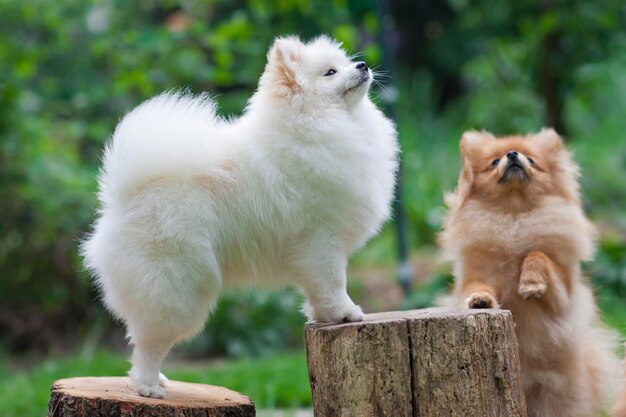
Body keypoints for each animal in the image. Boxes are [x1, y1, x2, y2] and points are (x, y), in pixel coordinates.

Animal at [81, 35, 394, 396]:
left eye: (345, 63)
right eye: (331, 72)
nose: (363, 65)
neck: (316, 125)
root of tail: (122, 197)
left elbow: (318, 291)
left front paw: (325, 317)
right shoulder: (320, 239)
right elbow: (333, 283)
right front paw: (346, 313)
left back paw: (156, 380)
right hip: (176, 287)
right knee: (149, 344)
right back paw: (148, 387)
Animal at [438, 129, 620, 416]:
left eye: (532, 160)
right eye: (494, 161)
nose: (513, 154)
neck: (514, 215)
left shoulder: (563, 298)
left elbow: (538, 255)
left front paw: (531, 284)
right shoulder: (475, 275)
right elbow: (475, 288)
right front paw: (480, 300)